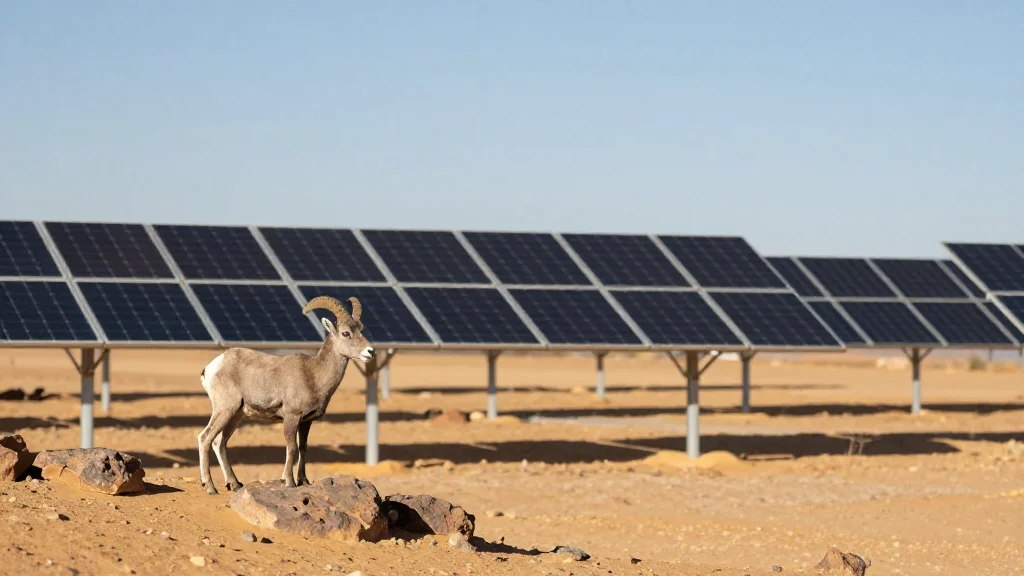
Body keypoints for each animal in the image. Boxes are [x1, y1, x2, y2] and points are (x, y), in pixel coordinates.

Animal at [197, 295, 375, 495]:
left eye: (360, 329)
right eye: (345, 333)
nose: (370, 352)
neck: (313, 374)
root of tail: (212, 367)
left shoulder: (306, 421)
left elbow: (303, 448)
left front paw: (303, 481)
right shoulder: (291, 417)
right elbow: (292, 448)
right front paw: (288, 481)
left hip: (237, 415)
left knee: (219, 442)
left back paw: (234, 484)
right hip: (225, 409)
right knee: (205, 438)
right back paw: (210, 487)